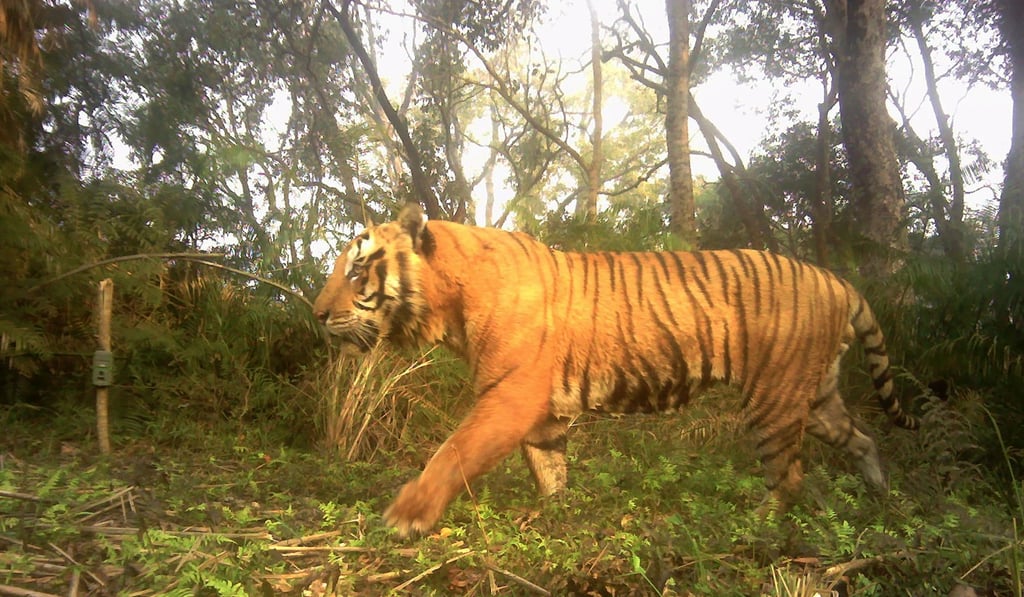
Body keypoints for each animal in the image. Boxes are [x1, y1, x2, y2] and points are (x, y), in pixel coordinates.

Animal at [312, 203, 918, 537]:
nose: (316, 314)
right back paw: (882, 498)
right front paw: (553, 516)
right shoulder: (540, 412)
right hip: (814, 396)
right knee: (862, 438)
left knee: (788, 476)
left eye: (357, 270)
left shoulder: (510, 395)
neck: (449, 305)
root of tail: (837, 280)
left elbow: (453, 451)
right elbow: (548, 470)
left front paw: (406, 514)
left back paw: (759, 524)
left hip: (775, 398)